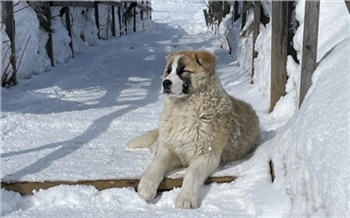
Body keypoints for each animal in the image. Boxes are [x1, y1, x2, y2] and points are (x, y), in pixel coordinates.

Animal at [127, 50, 262, 209]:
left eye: (183, 71)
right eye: (168, 71)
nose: (165, 82)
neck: (184, 110)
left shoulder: (206, 156)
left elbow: (191, 174)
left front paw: (185, 199)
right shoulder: (169, 149)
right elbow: (156, 164)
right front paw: (146, 187)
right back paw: (154, 146)